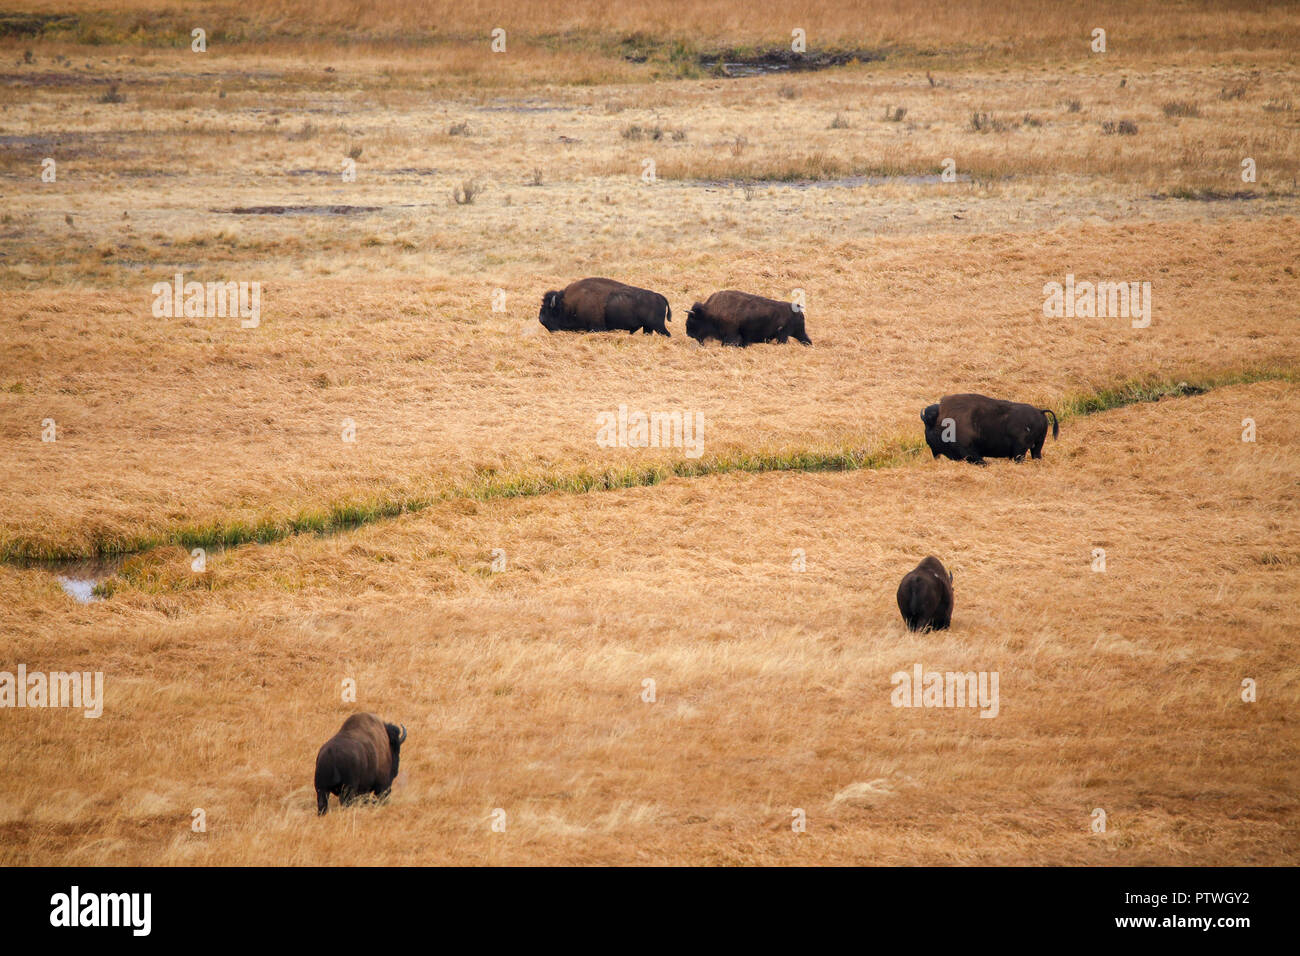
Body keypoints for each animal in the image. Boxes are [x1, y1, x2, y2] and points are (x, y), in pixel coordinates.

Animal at [538, 277, 671, 336]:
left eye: (549, 310)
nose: (541, 319)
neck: (569, 304)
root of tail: (659, 296)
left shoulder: (596, 328)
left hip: (658, 326)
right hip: (648, 327)